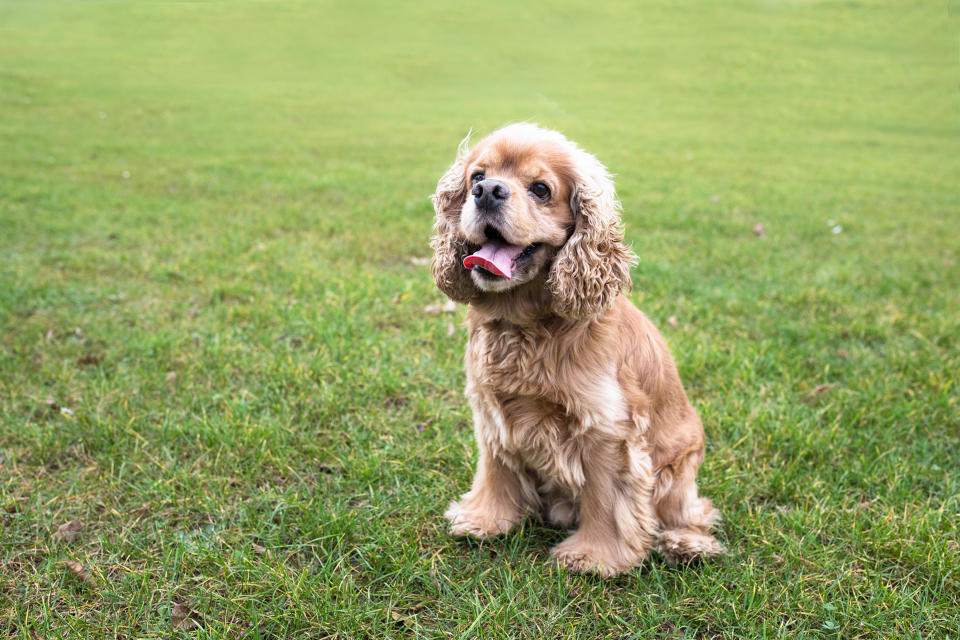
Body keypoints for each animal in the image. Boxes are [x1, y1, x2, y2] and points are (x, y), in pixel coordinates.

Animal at [432, 124, 724, 576]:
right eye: (476, 177)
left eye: (540, 189)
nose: (488, 191)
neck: (527, 325)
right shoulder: (491, 409)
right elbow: (496, 469)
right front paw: (485, 519)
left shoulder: (607, 427)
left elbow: (607, 497)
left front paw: (595, 556)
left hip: (680, 465)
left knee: (693, 511)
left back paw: (686, 544)